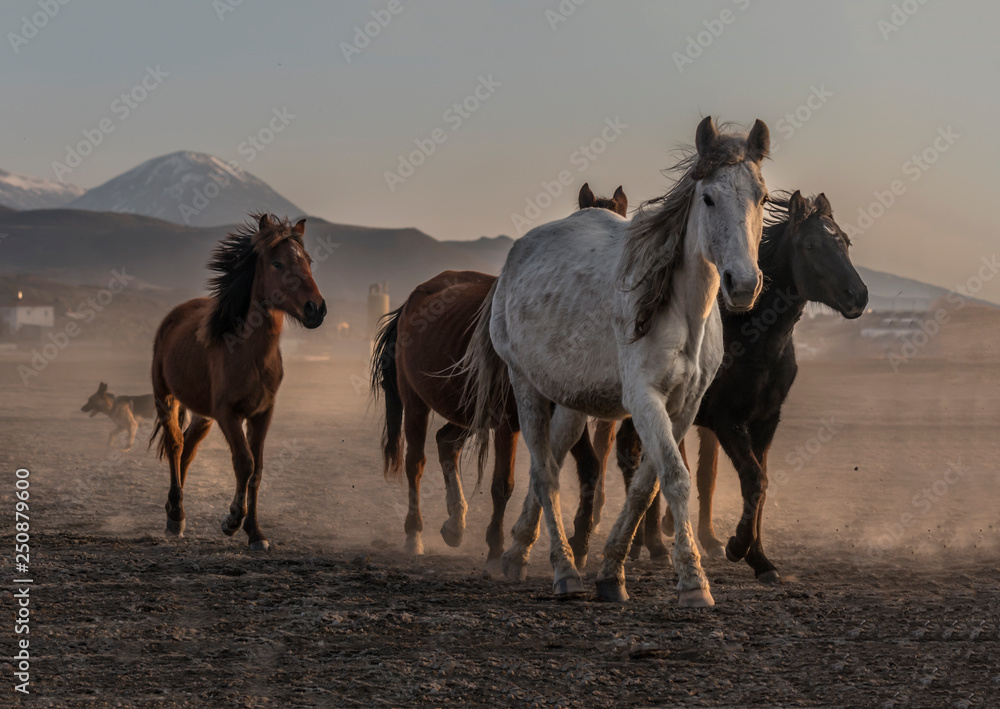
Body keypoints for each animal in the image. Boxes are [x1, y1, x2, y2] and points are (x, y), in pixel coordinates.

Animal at [150, 213, 326, 550]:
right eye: (277, 263)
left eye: (308, 261)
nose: (316, 309)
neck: (249, 353)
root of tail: (173, 316)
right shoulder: (227, 413)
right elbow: (244, 462)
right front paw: (232, 520)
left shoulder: (262, 413)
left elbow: (257, 469)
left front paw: (256, 533)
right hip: (165, 397)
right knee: (176, 444)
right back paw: (175, 516)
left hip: (203, 416)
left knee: (188, 450)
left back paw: (175, 511)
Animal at [370, 185, 628, 569]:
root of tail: (414, 298)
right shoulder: (510, 421)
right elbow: (502, 484)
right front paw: (495, 548)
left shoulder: (566, 415)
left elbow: (590, 470)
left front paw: (579, 546)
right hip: (416, 403)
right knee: (416, 463)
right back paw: (414, 535)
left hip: (466, 408)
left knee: (446, 443)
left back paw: (455, 524)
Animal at [463, 117, 771, 606]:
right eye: (708, 197)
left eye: (762, 197)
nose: (742, 284)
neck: (680, 313)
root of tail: (515, 257)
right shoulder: (644, 399)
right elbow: (675, 477)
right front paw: (693, 581)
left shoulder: (683, 408)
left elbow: (646, 486)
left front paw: (612, 574)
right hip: (525, 386)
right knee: (545, 475)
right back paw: (565, 572)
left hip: (571, 402)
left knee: (550, 462)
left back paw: (516, 554)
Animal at [608, 190, 868, 583]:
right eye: (810, 245)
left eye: (846, 243)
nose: (858, 295)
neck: (752, 336)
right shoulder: (725, 421)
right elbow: (753, 479)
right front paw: (736, 547)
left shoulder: (765, 422)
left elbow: (760, 484)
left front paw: (760, 560)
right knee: (630, 455)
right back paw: (643, 543)